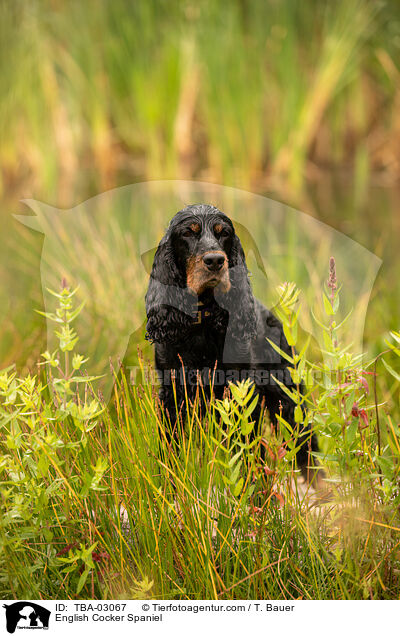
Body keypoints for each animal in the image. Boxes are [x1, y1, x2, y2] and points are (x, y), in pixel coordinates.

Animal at [145, 204, 318, 476]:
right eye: (188, 233)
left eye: (223, 233)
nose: (215, 261)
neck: (202, 321)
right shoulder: (172, 395)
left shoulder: (241, 391)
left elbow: (246, 447)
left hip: (288, 396)